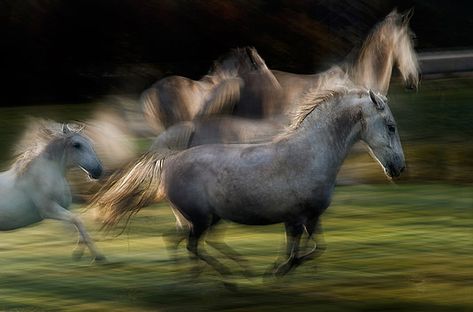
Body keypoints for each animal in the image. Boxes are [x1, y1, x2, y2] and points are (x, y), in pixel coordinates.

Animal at [0, 119, 105, 260]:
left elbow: (75, 224)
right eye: (77, 145)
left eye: (91, 143)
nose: (98, 171)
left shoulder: (65, 207)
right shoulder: (49, 210)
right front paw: (98, 256)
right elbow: (77, 220)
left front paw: (78, 253)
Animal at [90, 86, 404, 276]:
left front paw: (280, 270)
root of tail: (171, 160)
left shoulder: (307, 218)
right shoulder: (299, 217)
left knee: (180, 241)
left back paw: (211, 274)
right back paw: (226, 277)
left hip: (203, 219)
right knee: (191, 245)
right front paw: (276, 272)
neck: (310, 154)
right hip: (200, 219)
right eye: (391, 126)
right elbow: (303, 250)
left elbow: (308, 248)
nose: (399, 167)